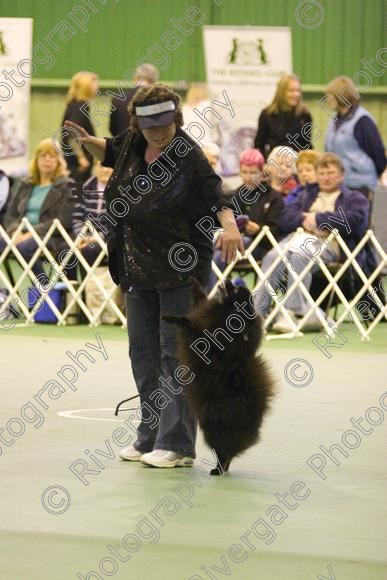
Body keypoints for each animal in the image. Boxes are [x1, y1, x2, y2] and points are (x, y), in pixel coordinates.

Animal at [164, 280, 276, 476]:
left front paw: (171, 318)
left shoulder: (203, 340)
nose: (229, 281)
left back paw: (218, 469)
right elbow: (199, 297)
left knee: (225, 452)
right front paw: (193, 280)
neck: (222, 315)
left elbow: (189, 324)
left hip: (213, 429)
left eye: (236, 290)